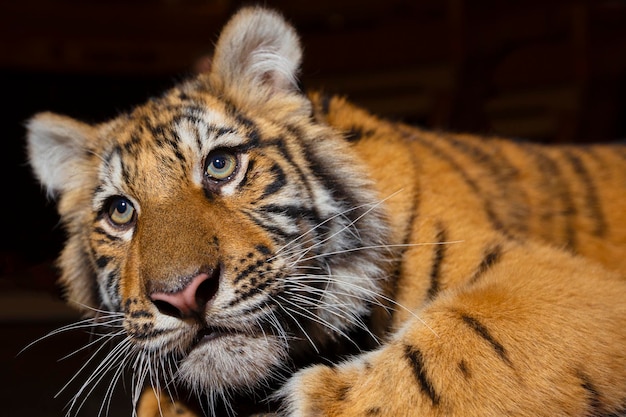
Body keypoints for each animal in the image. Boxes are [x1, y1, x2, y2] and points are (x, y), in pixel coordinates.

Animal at [26, 6, 624, 416]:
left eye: (220, 165)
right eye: (121, 212)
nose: (183, 296)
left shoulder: (561, 283)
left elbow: (468, 340)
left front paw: (324, 396)